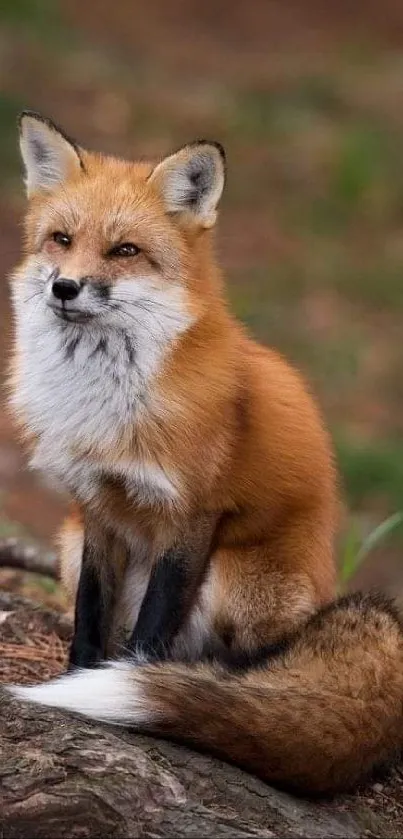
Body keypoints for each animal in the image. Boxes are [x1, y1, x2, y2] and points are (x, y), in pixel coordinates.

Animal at [6, 111, 403, 796]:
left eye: (124, 251)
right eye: (60, 239)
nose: (64, 287)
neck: (109, 404)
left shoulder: (191, 513)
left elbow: (149, 631)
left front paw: (136, 684)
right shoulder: (98, 510)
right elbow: (89, 616)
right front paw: (78, 675)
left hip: (234, 576)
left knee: (241, 659)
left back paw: (223, 687)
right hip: (68, 542)